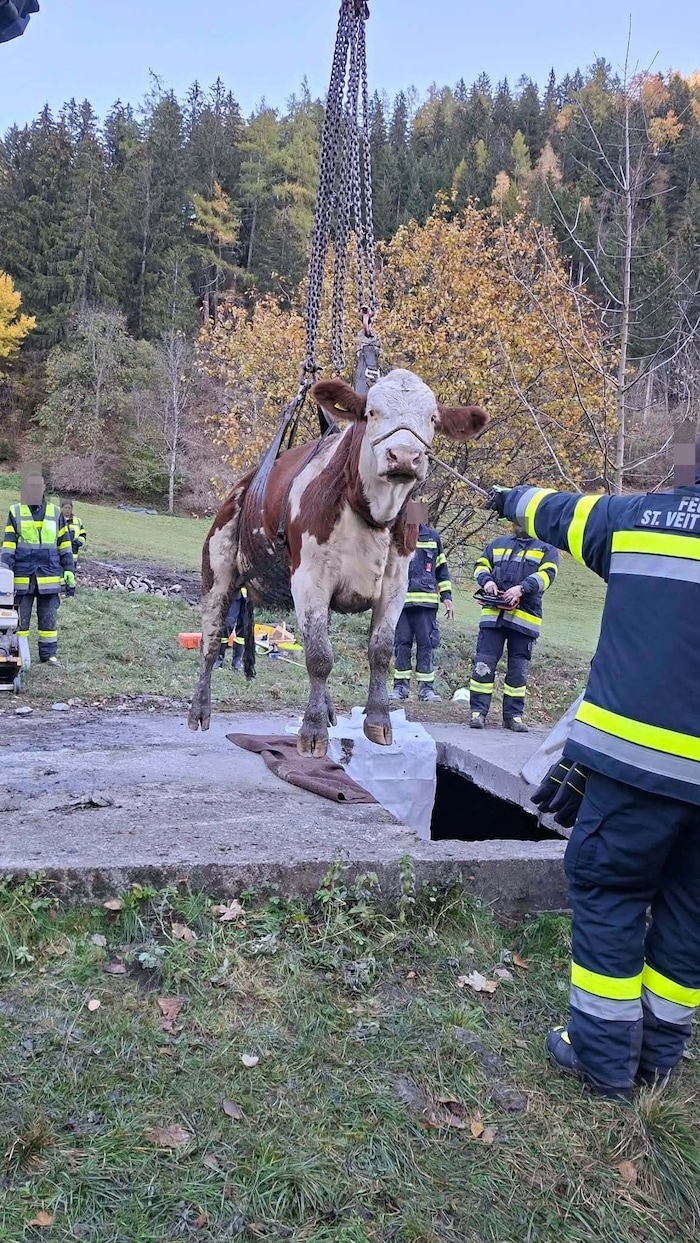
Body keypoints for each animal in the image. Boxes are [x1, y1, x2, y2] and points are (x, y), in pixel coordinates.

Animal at [188, 368, 487, 756]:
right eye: (371, 412)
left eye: (433, 419)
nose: (404, 456)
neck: (372, 514)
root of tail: (243, 484)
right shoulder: (309, 577)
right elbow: (319, 656)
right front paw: (312, 730)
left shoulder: (396, 583)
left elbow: (380, 650)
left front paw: (378, 721)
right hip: (218, 570)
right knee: (211, 641)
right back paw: (199, 710)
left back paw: (330, 711)